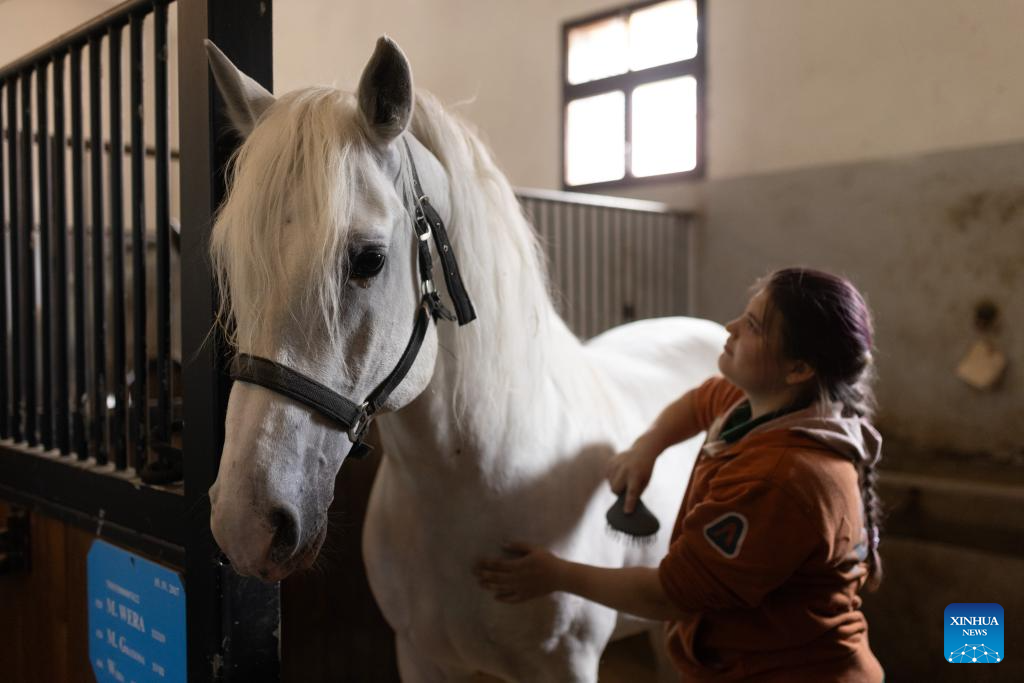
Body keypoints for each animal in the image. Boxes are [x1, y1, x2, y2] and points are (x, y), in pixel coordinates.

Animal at [204, 36, 726, 682]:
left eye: (368, 259)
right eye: (229, 263)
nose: (245, 525)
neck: (473, 478)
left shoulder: (567, 663)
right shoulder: (420, 655)